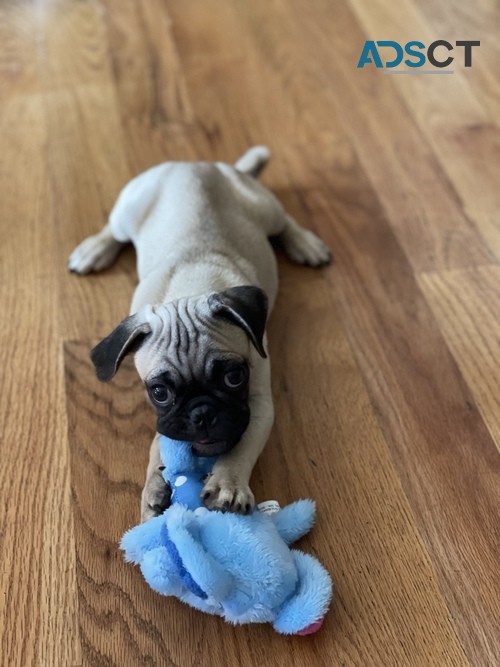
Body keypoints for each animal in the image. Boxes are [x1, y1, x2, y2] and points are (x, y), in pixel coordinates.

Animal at [68, 146, 330, 520]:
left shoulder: (259, 404)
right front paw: (152, 491)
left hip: (265, 210)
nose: (202, 412)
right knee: (113, 230)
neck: (191, 288)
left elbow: (241, 444)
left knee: (284, 221)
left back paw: (306, 243)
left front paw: (227, 484)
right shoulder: (164, 419)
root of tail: (197, 164)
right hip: (127, 212)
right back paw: (94, 249)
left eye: (234, 377)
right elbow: (158, 447)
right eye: (159, 392)